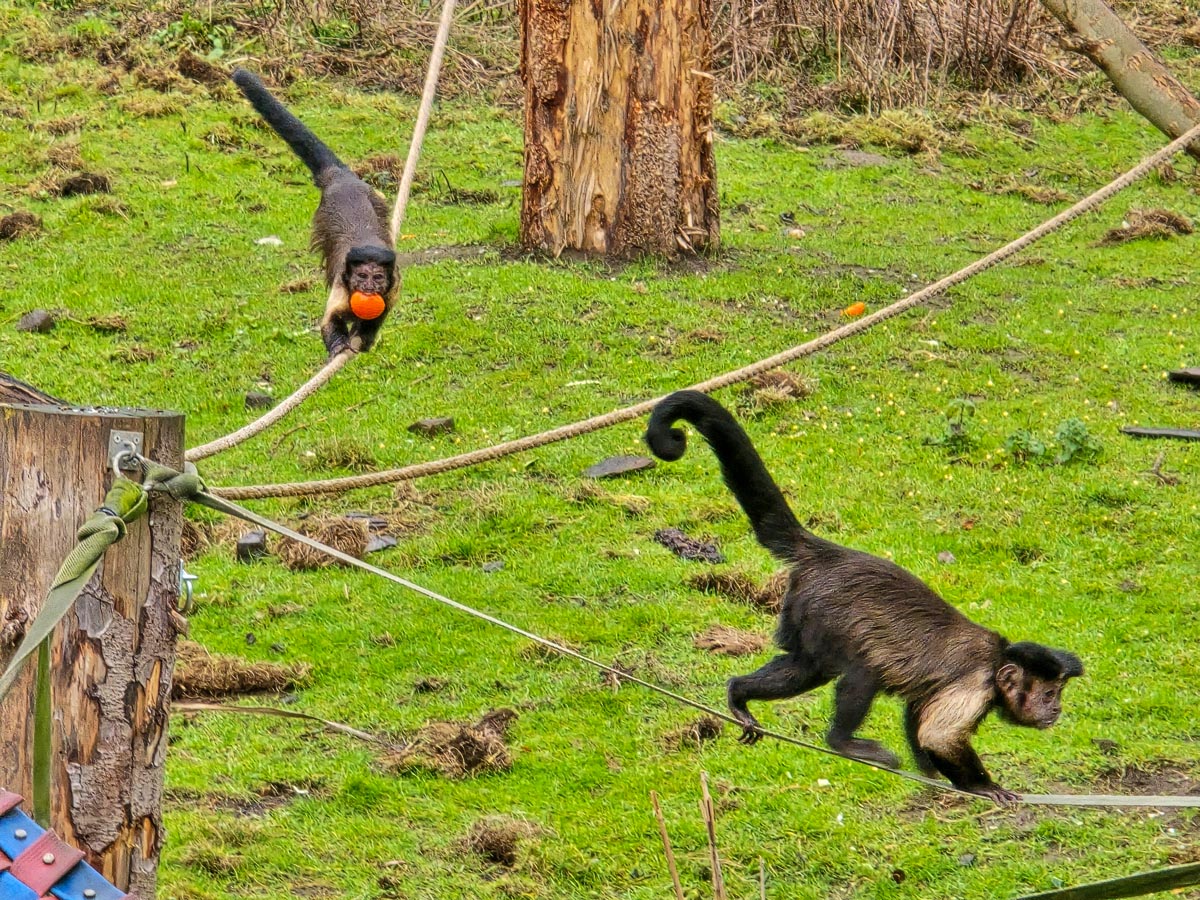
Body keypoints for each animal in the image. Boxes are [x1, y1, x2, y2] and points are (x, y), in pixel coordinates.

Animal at [232, 68, 398, 358]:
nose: (368, 289)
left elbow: (380, 315)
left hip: (376, 201)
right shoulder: (343, 286)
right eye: (362, 276)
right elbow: (329, 320)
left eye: (377, 278)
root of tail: (342, 177)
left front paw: (365, 336)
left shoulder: (392, 287)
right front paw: (339, 345)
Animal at [645, 390, 1083, 802]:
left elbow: (918, 718)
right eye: (1048, 693)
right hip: (826, 609)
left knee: (809, 667)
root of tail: (826, 552)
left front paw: (935, 776)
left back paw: (738, 693)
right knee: (861, 668)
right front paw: (981, 786)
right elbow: (938, 734)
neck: (998, 662)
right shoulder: (977, 684)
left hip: (803, 612)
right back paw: (841, 741)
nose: (1056, 708)